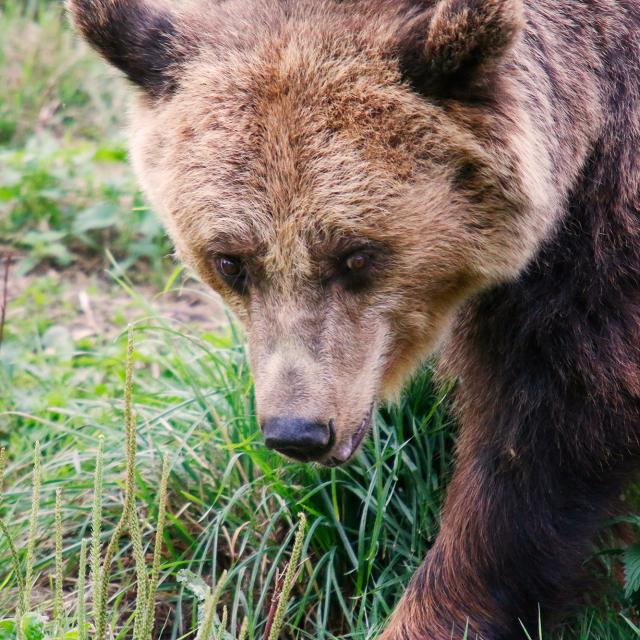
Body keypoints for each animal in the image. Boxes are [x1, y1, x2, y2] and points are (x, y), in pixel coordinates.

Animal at [67, 0, 636, 636]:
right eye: (230, 261)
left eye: (356, 254)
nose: (297, 431)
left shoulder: (597, 233)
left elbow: (546, 433)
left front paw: (436, 609)